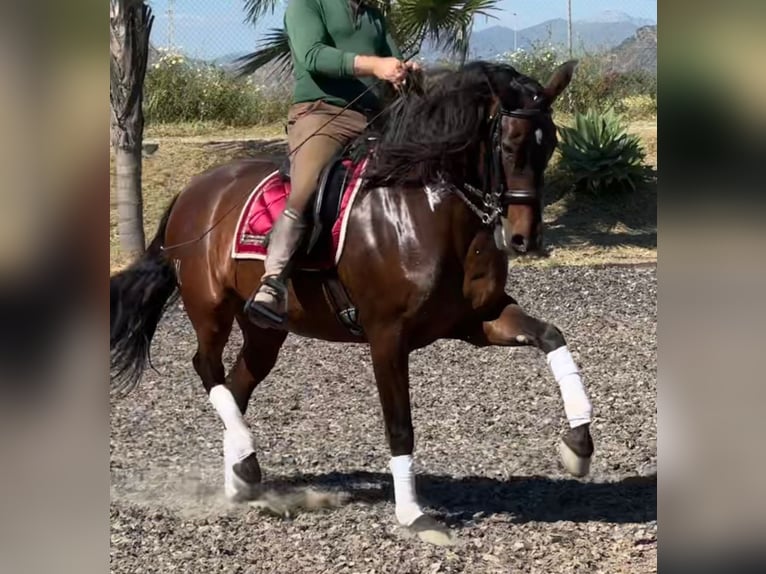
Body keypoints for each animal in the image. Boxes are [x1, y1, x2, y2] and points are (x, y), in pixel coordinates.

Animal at [110, 60, 595, 545]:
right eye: (509, 145)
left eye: (550, 143)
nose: (525, 238)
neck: (427, 210)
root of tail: (195, 190)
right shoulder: (387, 336)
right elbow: (399, 425)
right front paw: (413, 515)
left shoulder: (479, 320)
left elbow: (551, 336)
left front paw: (578, 446)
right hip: (210, 308)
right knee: (207, 368)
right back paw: (245, 457)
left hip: (265, 331)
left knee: (236, 383)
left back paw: (242, 479)